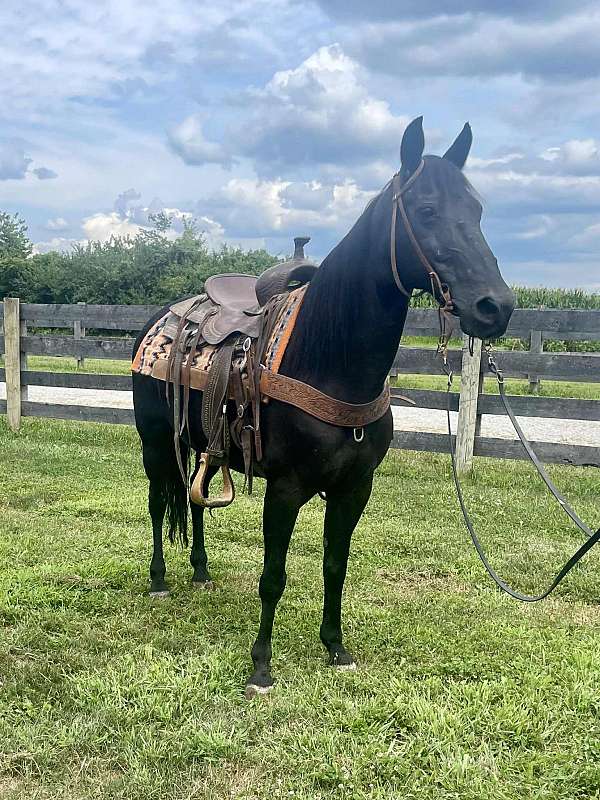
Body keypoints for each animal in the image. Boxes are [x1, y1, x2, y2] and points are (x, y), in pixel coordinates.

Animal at [132, 117, 515, 696]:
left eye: (477, 210)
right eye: (426, 210)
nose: (496, 307)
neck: (329, 362)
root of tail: (164, 319)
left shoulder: (355, 488)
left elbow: (335, 565)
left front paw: (335, 647)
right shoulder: (286, 489)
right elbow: (273, 576)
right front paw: (261, 666)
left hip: (206, 445)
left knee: (197, 501)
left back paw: (200, 570)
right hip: (156, 444)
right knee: (159, 503)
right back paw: (159, 580)